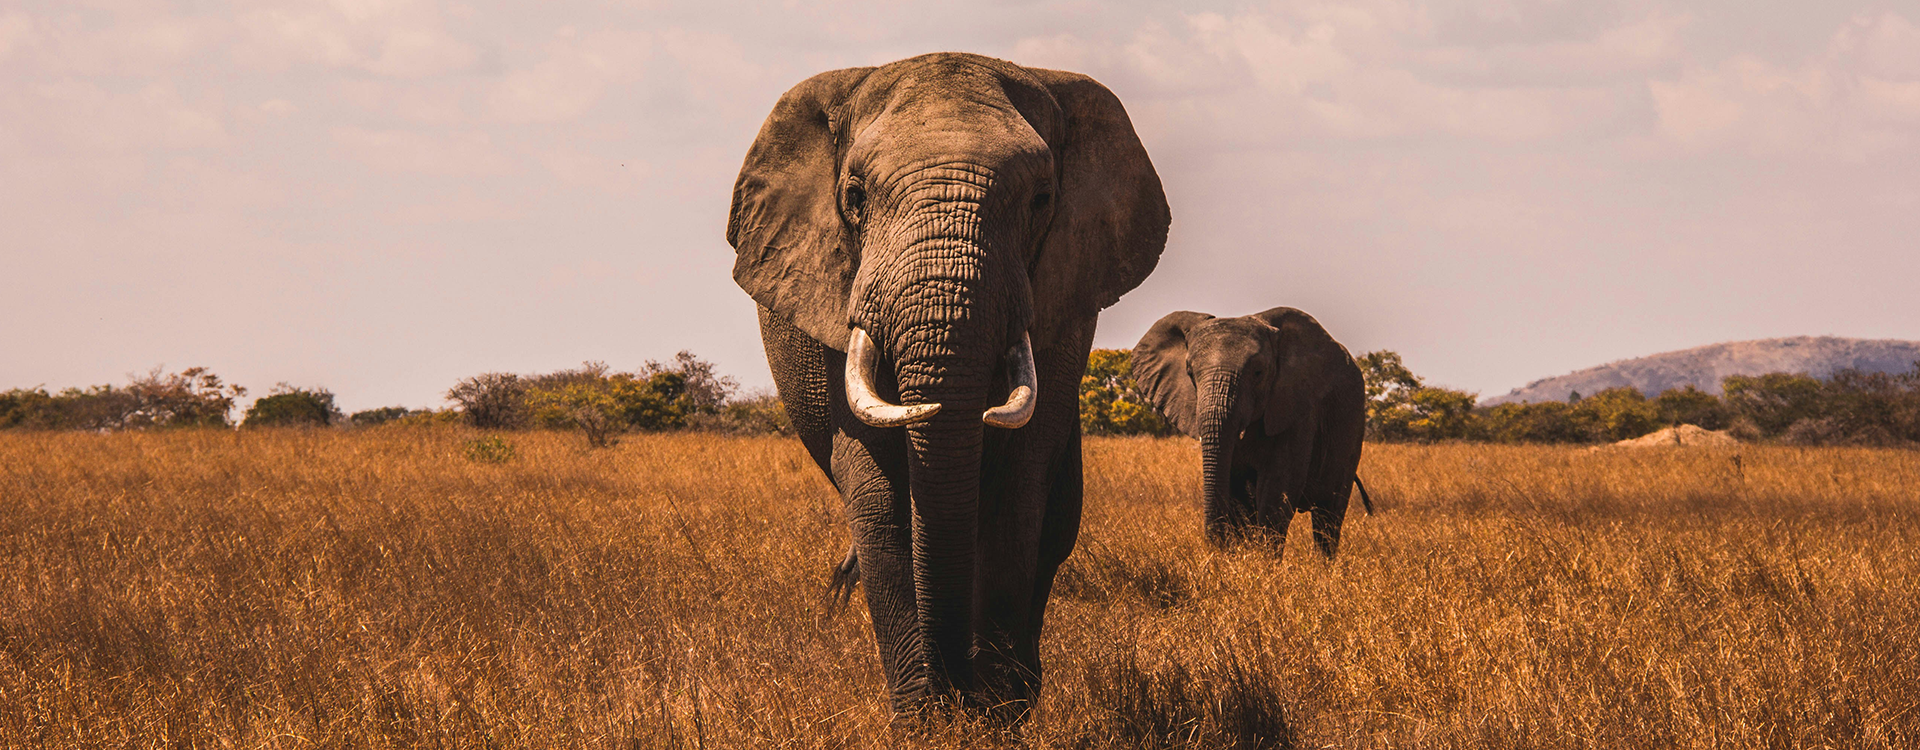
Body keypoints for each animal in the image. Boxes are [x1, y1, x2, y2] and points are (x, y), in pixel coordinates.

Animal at [725, 53, 1169, 720]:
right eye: (854, 197)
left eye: (1042, 199)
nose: (958, 689)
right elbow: (878, 494)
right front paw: (925, 718)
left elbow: (1018, 488)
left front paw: (997, 713)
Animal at [1131, 307, 1370, 552]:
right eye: (1190, 373)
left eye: (1258, 372)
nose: (1215, 545)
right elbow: (1237, 492)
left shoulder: (1299, 408)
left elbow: (1277, 489)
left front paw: (1263, 561)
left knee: (1328, 516)